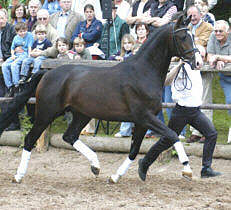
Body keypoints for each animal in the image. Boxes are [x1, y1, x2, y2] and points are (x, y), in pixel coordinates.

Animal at [0, 14, 202, 184]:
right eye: (183, 36)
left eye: (193, 35)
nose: (198, 62)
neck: (143, 72)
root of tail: (47, 73)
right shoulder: (144, 117)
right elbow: (172, 135)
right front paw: (187, 170)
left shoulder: (143, 121)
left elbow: (134, 150)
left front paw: (115, 177)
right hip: (47, 113)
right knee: (30, 139)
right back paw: (18, 176)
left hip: (81, 114)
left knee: (69, 136)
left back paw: (96, 165)